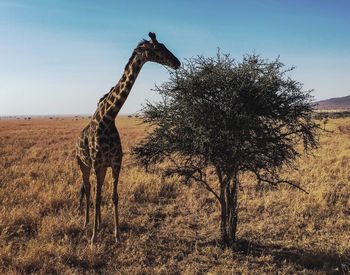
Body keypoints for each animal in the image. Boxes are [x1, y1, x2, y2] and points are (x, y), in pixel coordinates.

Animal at [76, 32, 180, 246]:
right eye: (159, 48)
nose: (177, 62)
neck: (107, 119)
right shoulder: (97, 163)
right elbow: (97, 197)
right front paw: (93, 238)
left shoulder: (116, 163)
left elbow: (114, 196)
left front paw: (116, 234)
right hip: (83, 164)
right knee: (89, 190)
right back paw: (87, 223)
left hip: (101, 168)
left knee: (97, 190)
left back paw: (99, 224)